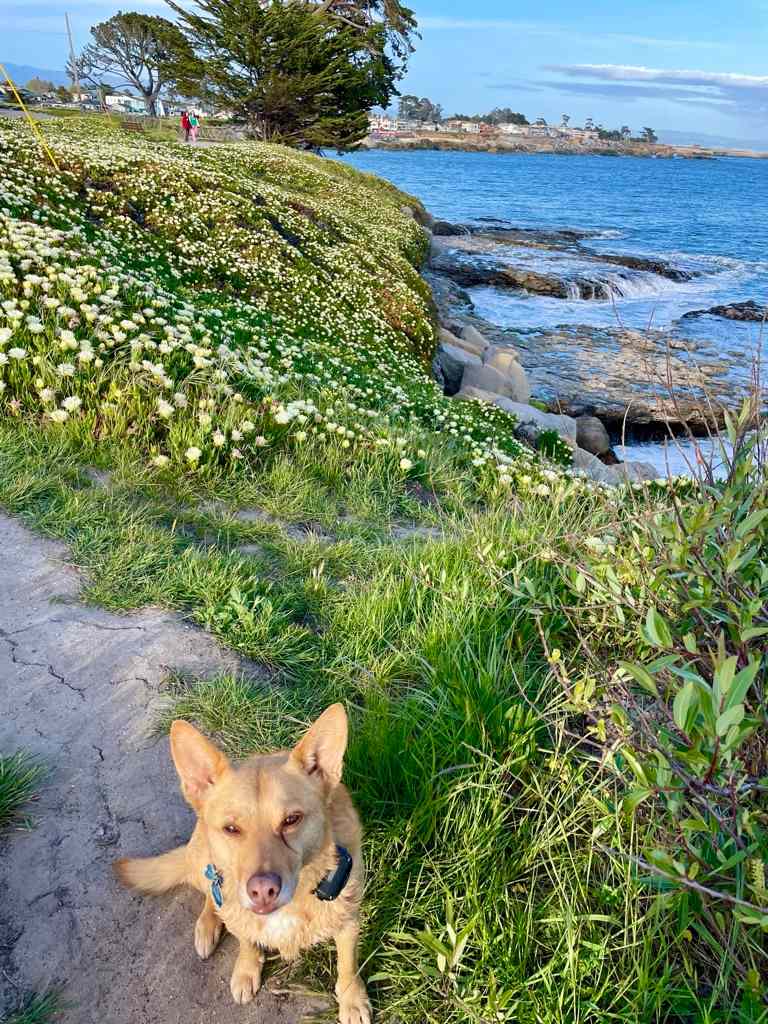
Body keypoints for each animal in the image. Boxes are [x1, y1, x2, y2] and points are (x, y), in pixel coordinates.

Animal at [115, 704, 374, 1024]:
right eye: (231, 828)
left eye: (291, 820)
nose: (263, 891)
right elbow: (246, 941)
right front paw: (246, 969)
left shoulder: (349, 923)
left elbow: (347, 966)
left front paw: (352, 999)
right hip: (203, 861)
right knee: (211, 895)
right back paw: (207, 926)